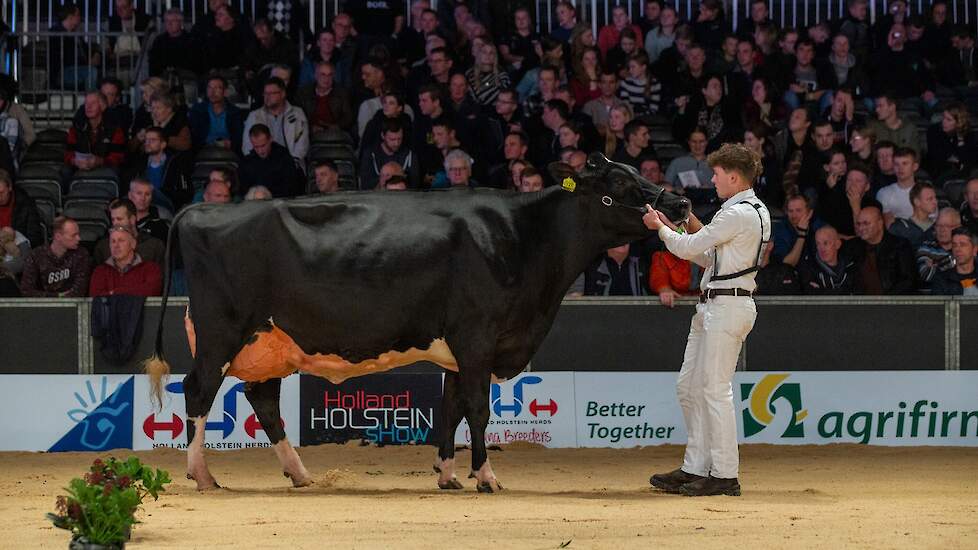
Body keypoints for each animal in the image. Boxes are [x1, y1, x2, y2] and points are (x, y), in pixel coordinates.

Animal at [149, 153, 692, 494]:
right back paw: (202, 475)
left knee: (263, 400)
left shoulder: (457, 348)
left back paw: (299, 474)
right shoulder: (477, 336)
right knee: (199, 391)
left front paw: (448, 474)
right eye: (619, 183)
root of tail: (199, 209)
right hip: (221, 332)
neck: (523, 236)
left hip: (271, 341)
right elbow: (478, 409)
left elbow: (450, 409)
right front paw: (486, 477)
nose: (682, 203)